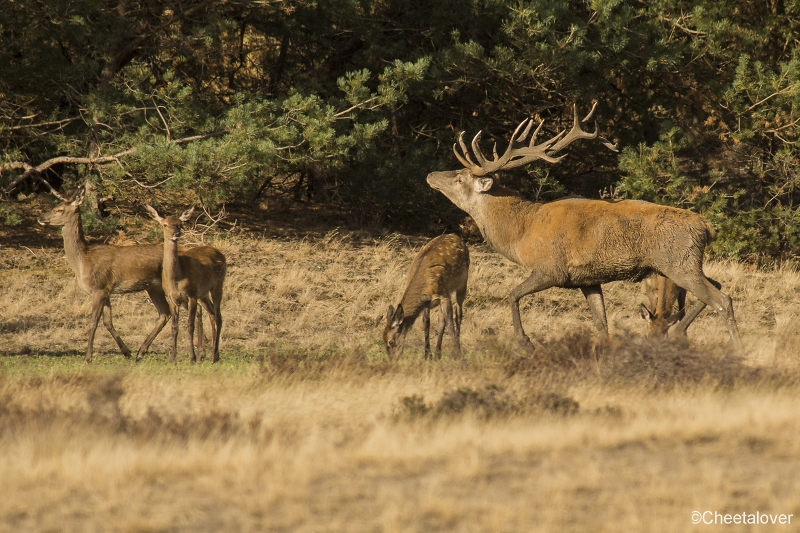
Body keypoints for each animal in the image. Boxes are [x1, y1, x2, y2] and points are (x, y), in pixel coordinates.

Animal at [36, 190, 171, 362]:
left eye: (60, 209)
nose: (40, 217)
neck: (83, 262)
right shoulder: (106, 289)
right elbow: (108, 322)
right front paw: (126, 352)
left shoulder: (98, 287)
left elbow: (93, 322)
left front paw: (87, 357)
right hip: (153, 287)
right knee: (164, 313)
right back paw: (140, 352)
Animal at [146, 204, 225, 362]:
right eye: (165, 224)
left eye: (180, 224)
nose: (176, 233)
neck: (176, 279)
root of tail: (221, 254)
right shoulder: (171, 297)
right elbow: (174, 327)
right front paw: (172, 358)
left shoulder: (192, 294)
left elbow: (190, 325)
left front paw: (192, 358)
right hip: (203, 294)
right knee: (212, 314)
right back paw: (214, 354)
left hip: (217, 284)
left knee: (219, 316)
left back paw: (214, 356)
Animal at [428, 104, 748, 354]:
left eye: (459, 179)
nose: (431, 174)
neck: (520, 233)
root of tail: (706, 227)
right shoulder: (587, 279)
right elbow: (601, 323)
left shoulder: (551, 269)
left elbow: (513, 294)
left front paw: (524, 341)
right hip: (684, 263)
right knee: (717, 286)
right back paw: (682, 332)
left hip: (678, 261)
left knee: (722, 299)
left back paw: (736, 349)